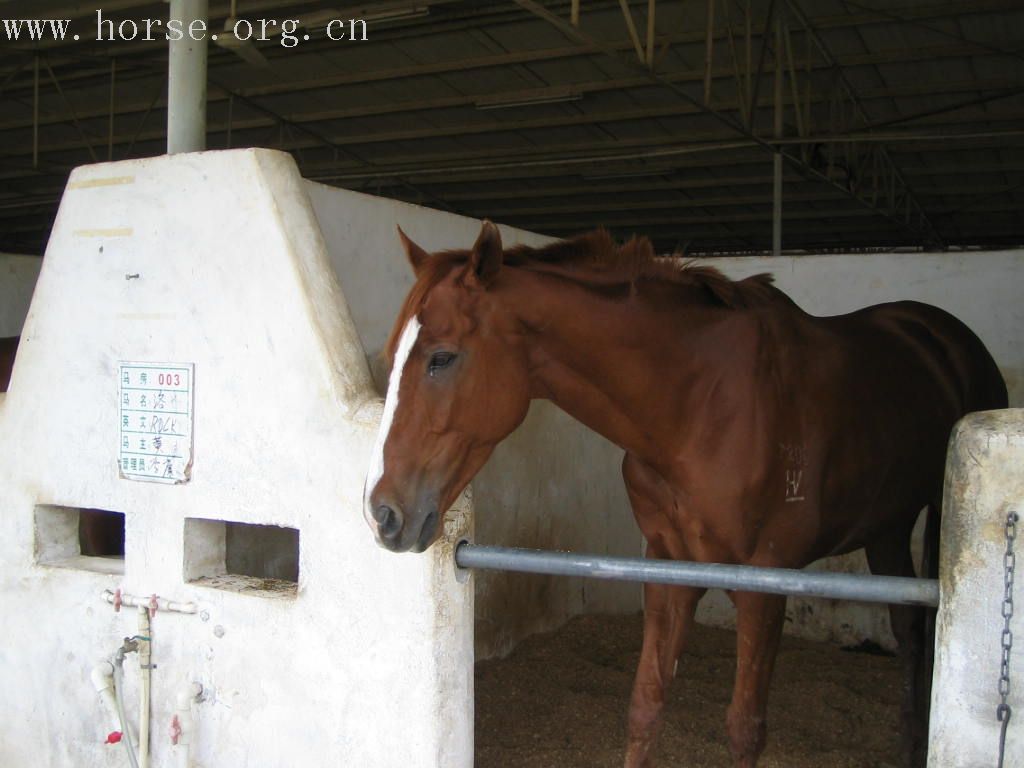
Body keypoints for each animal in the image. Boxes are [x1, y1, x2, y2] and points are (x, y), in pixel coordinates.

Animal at [362, 219, 1007, 765]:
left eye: (442, 358)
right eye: (393, 357)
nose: (381, 512)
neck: (699, 408)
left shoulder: (764, 582)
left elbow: (744, 728)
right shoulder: (667, 566)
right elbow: (645, 706)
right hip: (888, 527)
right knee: (909, 633)